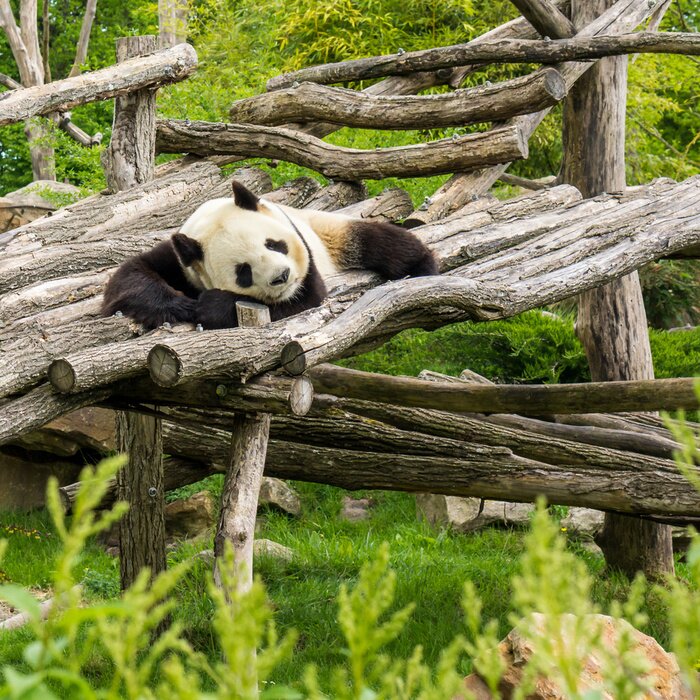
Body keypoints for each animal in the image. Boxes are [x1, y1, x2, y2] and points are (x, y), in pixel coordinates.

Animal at [102, 180, 438, 330]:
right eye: (243, 271)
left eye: (274, 244)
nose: (282, 277)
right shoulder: (183, 259)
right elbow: (129, 277)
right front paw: (182, 305)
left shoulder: (305, 260)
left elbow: (304, 298)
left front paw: (210, 306)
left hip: (328, 232)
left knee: (376, 240)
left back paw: (422, 264)